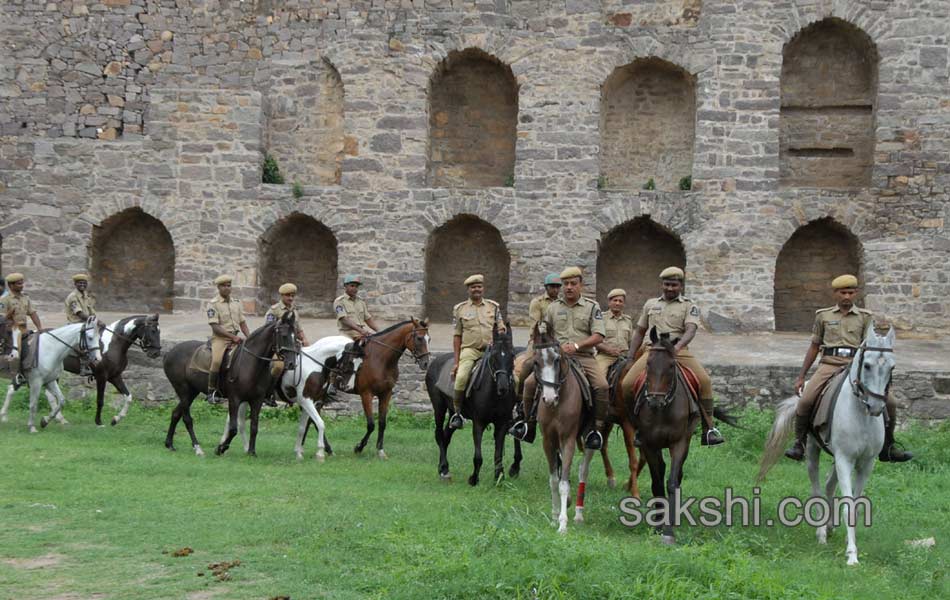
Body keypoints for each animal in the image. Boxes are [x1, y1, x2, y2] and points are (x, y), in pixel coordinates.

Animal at [162, 312, 298, 458]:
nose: (292, 363)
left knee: (176, 413)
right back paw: (197, 448)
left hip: (192, 392)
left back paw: (169, 444)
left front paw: (251, 452)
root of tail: (170, 352)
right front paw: (221, 448)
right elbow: (233, 429)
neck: (251, 363)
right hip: (183, 391)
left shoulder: (257, 401)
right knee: (187, 419)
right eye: (284, 335)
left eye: (295, 336)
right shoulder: (234, 399)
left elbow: (254, 427)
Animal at [229, 336, 362, 462]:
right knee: (240, 423)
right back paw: (243, 447)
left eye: (360, 364)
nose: (347, 386)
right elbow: (320, 423)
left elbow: (303, 427)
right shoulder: (306, 401)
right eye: (351, 361)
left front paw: (299, 452)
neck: (315, 364)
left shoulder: (312, 402)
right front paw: (320, 453)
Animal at [342, 318, 432, 460]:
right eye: (419, 338)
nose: (426, 363)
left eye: (429, 339)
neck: (380, 359)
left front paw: (380, 451)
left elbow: (382, 423)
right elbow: (371, 424)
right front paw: (359, 447)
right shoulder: (366, 394)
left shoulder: (386, 394)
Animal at [428, 322, 524, 486]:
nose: (503, 387)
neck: (493, 393)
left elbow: (498, 454)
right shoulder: (478, 422)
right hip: (439, 408)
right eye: (493, 356)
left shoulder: (502, 424)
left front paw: (499, 477)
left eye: (512, 355)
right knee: (439, 435)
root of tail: (435, 361)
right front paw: (473, 479)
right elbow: (478, 456)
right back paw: (444, 470)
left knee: (447, 435)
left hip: (453, 412)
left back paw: (444, 468)